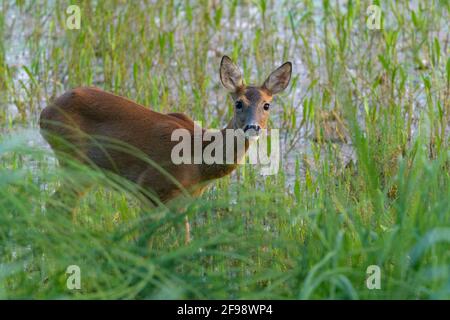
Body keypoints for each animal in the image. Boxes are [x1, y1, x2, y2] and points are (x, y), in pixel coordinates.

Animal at [39, 55, 292, 240]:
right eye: (239, 103)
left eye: (267, 105)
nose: (253, 127)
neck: (200, 162)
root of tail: (44, 113)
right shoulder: (150, 188)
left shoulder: (182, 202)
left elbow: (185, 241)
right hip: (76, 164)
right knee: (56, 205)